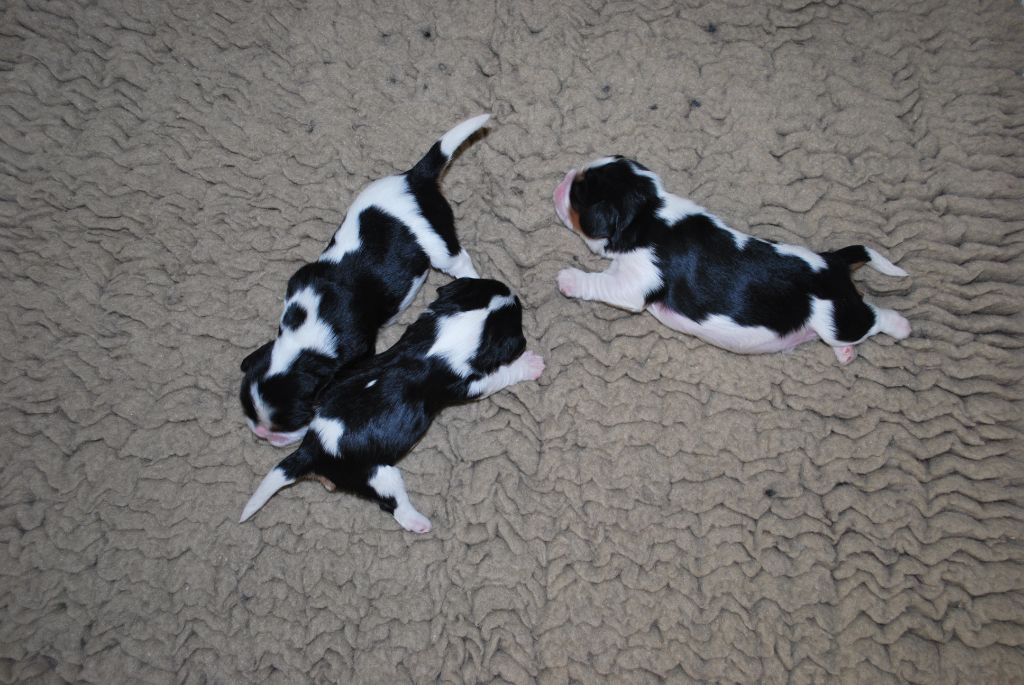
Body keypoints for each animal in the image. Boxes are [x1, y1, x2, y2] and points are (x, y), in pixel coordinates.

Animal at [239, 278, 548, 532]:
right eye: (516, 314)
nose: (513, 291)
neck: (441, 337)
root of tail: (311, 450)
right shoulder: (469, 385)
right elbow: (501, 375)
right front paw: (531, 364)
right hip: (380, 475)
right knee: (392, 504)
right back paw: (419, 522)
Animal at [241, 112, 493, 446]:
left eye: (289, 422)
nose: (264, 436)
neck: (305, 330)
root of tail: (413, 178)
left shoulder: (358, 348)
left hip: (439, 243)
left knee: (459, 260)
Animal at [552, 156, 913, 362]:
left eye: (578, 194)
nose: (560, 181)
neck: (649, 214)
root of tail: (832, 262)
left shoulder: (636, 281)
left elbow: (601, 282)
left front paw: (568, 279)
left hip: (839, 319)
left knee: (876, 316)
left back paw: (902, 327)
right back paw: (846, 354)